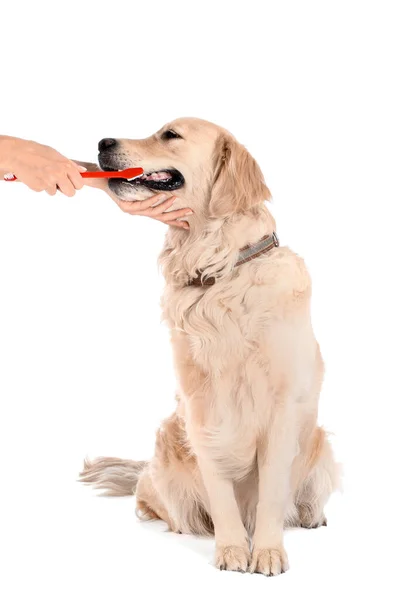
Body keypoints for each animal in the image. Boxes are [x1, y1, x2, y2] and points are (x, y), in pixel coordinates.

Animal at [79, 117, 340, 576]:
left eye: (170, 135)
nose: (102, 142)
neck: (220, 272)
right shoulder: (201, 407)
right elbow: (219, 488)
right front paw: (233, 548)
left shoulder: (283, 406)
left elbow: (273, 490)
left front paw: (267, 551)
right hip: (167, 449)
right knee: (150, 498)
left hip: (320, 441)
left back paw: (311, 514)